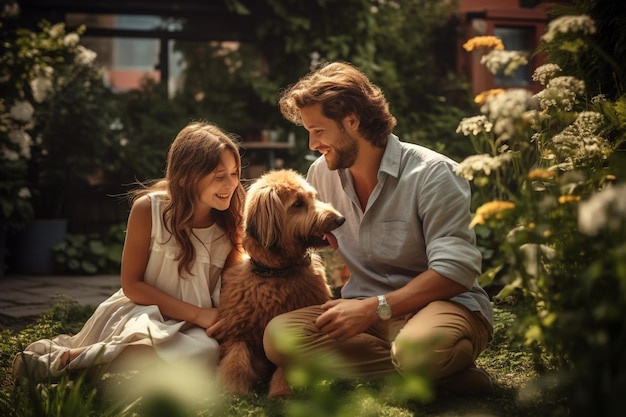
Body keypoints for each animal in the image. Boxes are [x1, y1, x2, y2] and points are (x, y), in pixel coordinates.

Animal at [212, 168, 344, 396]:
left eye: (313, 197)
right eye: (298, 203)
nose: (340, 219)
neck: (277, 273)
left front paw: (281, 390)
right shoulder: (237, 331)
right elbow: (236, 357)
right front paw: (232, 387)